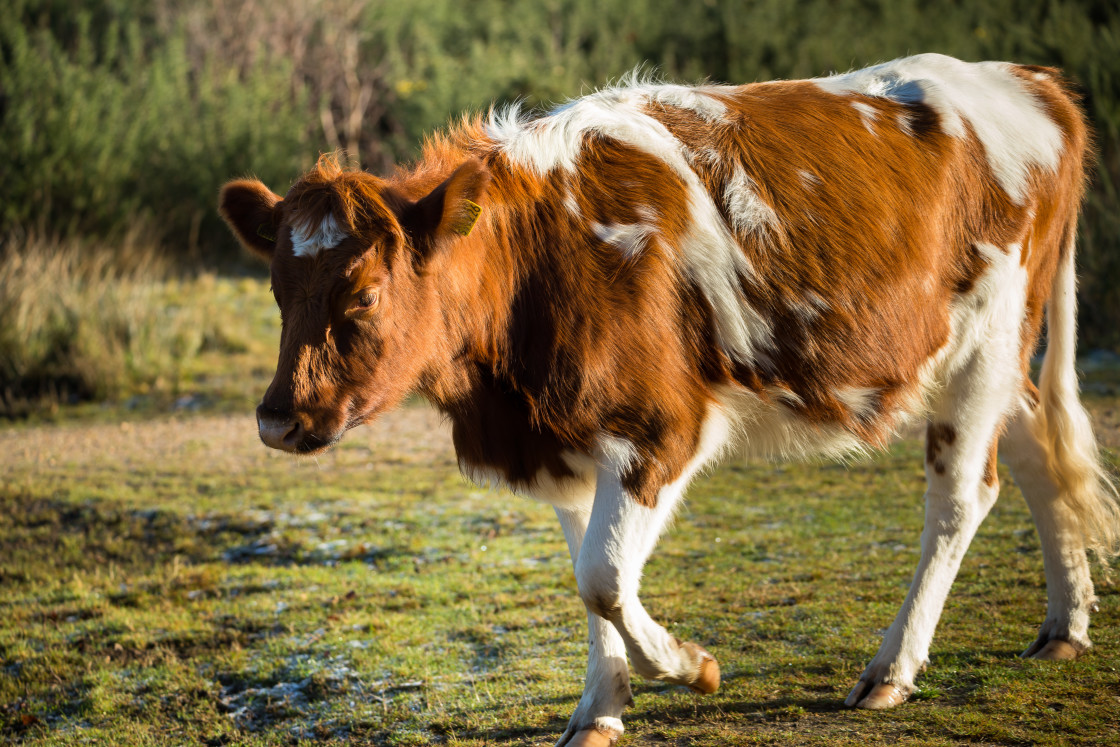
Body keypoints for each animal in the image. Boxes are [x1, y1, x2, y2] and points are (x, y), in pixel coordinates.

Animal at [220, 55, 1120, 743]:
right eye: (277, 290)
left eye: (363, 293)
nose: (277, 419)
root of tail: (1028, 80)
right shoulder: (565, 437)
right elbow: (587, 575)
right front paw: (600, 707)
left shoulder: (659, 429)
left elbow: (605, 575)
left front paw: (690, 666)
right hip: (995, 356)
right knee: (1037, 442)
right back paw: (1065, 625)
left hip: (986, 340)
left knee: (962, 495)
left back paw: (892, 668)